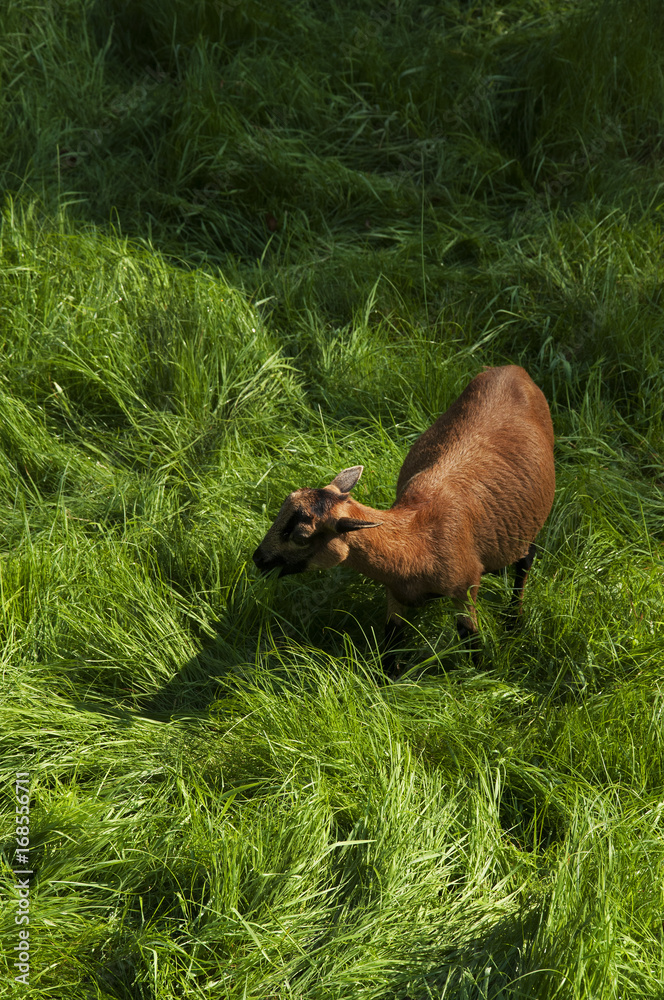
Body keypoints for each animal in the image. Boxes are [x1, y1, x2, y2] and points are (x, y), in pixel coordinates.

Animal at [253, 364, 556, 668]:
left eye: (301, 536)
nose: (258, 559)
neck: (416, 537)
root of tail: (511, 369)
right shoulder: (395, 594)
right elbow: (391, 647)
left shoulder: (465, 586)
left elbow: (471, 642)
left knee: (526, 559)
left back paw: (513, 620)